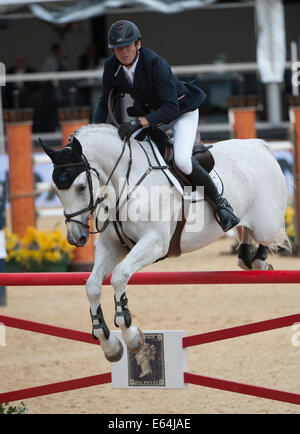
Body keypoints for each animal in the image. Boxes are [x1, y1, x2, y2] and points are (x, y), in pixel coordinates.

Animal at [40, 123, 290, 362]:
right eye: (56, 191)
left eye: (81, 186)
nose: (76, 238)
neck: (123, 182)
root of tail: (258, 145)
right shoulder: (111, 245)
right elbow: (92, 286)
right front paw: (110, 345)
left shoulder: (154, 243)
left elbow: (119, 277)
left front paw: (132, 337)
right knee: (246, 234)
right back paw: (246, 255)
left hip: (265, 222)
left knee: (269, 234)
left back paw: (257, 259)